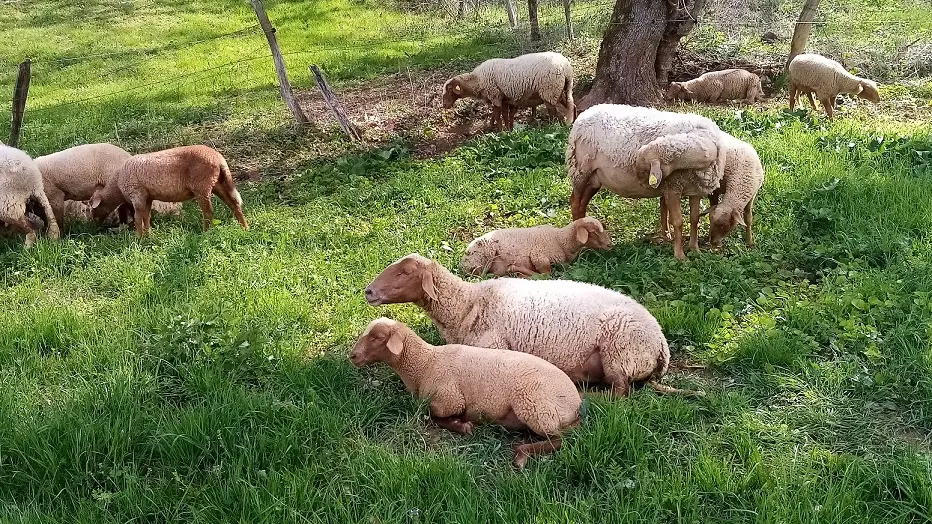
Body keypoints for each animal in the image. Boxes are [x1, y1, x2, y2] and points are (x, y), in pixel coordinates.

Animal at [352, 318, 584, 468]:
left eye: (378, 337)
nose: (352, 355)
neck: (425, 364)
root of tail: (576, 404)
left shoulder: (449, 399)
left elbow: (434, 416)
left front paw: (463, 426)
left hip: (536, 406)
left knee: (563, 439)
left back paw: (521, 454)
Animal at [364, 254, 700, 398]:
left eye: (405, 272)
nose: (368, 291)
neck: (468, 304)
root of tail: (661, 347)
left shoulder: (492, 348)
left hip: (619, 354)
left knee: (620, 393)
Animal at [444, 51, 576, 131]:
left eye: (449, 90)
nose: (444, 105)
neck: (477, 81)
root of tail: (566, 67)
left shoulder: (496, 96)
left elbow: (497, 116)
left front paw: (501, 132)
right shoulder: (504, 99)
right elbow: (504, 115)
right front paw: (506, 129)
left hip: (549, 91)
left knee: (552, 112)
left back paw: (553, 127)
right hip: (561, 89)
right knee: (571, 105)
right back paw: (573, 122)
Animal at [458, 216, 612, 278]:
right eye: (593, 232)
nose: (610, 245)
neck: (561, 239)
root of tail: (463, 262)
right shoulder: (539, 256)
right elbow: (546, 275)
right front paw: (519, 271)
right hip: (485, 255)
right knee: (482, 276)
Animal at [568, 103, 728, 258]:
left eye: (646, 169)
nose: (643, 183)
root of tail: (583, 115)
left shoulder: (695, 189)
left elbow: (694, 219)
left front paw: (695, 249)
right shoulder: (673, 188)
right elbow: (678, 222)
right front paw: (680, 256)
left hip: (594, 178)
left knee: (582, 204)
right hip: (581, 171)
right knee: (575, 203)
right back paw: (580, 239)